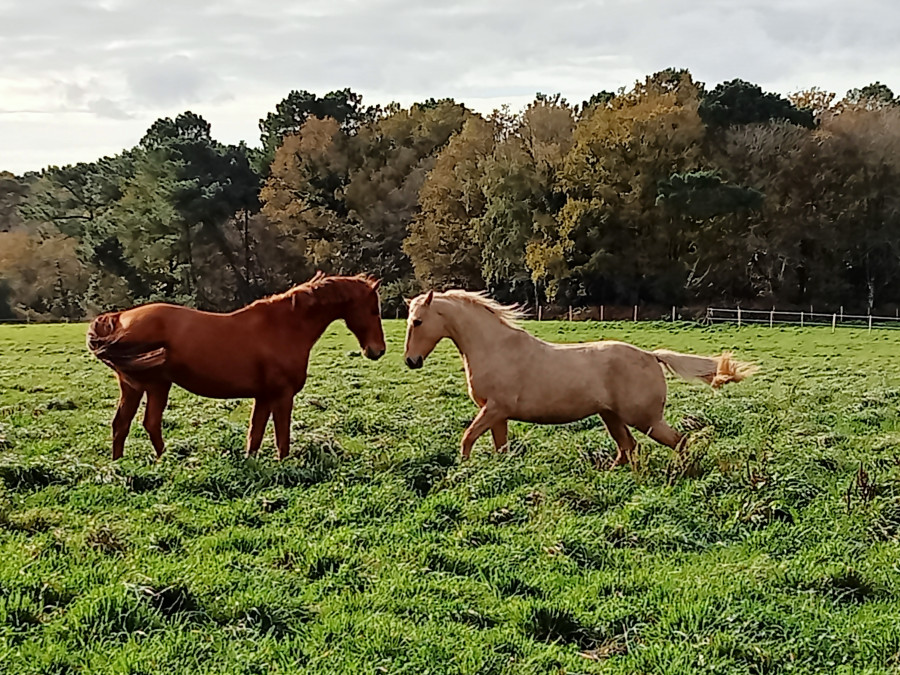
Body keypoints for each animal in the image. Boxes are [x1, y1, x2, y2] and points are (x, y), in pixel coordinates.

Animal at [86, 272, 386, 461]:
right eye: (374, 310)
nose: (377, 351)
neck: (284, 327)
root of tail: (119, 318)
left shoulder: (264, 396)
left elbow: (255, 436)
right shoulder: (282, 395)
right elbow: (282, 437)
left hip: (139, 387)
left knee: (126, 425)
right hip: (155, 385)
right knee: (146, 423)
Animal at [402, 289, 756, 466]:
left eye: (418, 321)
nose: (411, 361)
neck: (495, 348)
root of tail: (651, 356)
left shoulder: (494, 409)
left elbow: (467, 439)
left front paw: (460, 474)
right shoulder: (497, 414)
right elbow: (500, 448)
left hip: (644, 418)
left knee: (677, 441)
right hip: (612, 416)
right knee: (628, 449)